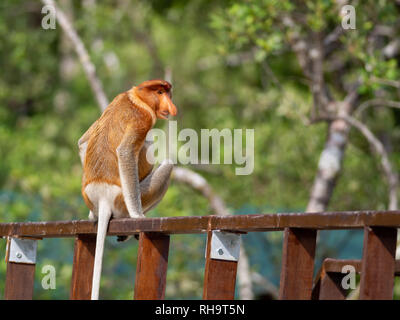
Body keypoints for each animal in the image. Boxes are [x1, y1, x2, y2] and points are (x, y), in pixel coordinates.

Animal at [78, 79, 178, 300]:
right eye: (160, 92)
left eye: (168, 93)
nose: (171, 106)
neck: (136, 97)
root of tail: (102, 196)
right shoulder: (143, 118)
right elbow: (125, 152)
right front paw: (137, 216)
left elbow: (82, 142)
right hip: (122, 199)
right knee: (165, 163)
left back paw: (95, 213)